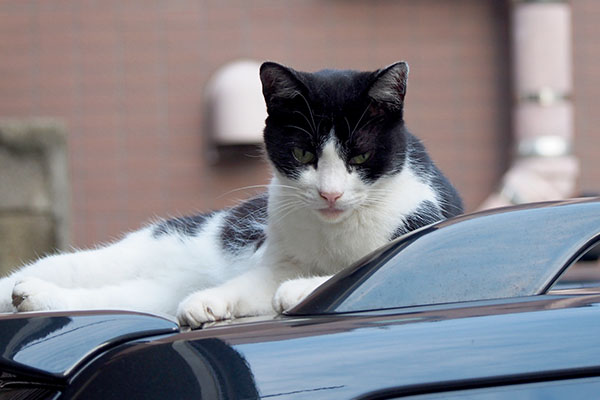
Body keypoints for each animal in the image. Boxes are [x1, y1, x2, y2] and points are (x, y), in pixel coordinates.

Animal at [0, 61, 464, 326]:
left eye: (361, 156)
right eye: (303, 153)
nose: (330, 195)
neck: (335, 233)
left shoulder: (422, 235)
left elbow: (356, 273)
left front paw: (300, 290)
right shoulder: (277, 261)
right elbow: (251, 281)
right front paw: (208, 301)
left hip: (149, 289)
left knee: (114, 298)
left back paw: (31, 297)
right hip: (145, 250)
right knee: (69, 269)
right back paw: (24, 292)